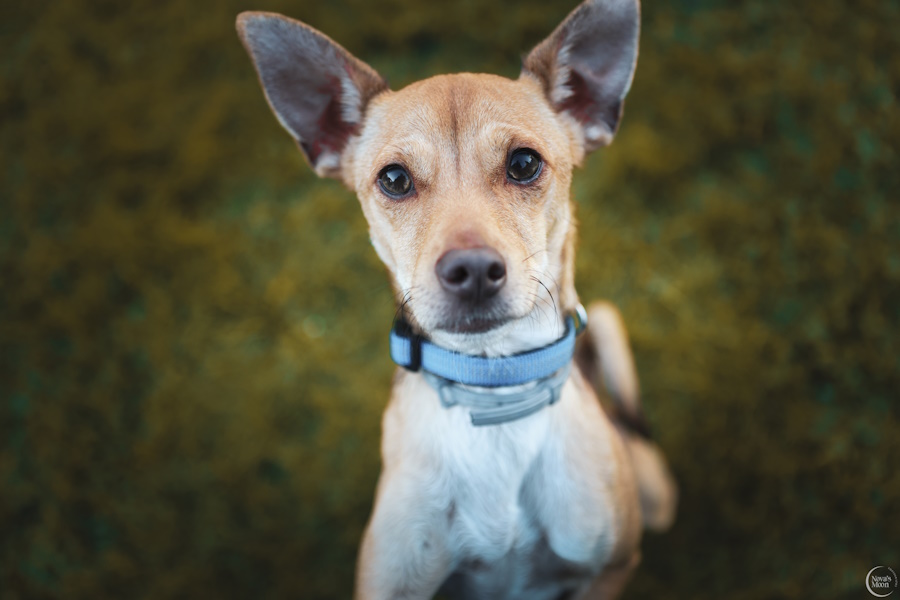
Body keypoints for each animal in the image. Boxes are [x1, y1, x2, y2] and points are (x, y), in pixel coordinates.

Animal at [237, 1, 676, 596]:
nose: (471, 271)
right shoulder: (392, 582)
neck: (494, 394)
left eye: (523, 164)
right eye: (394, 179)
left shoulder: (609, 568)